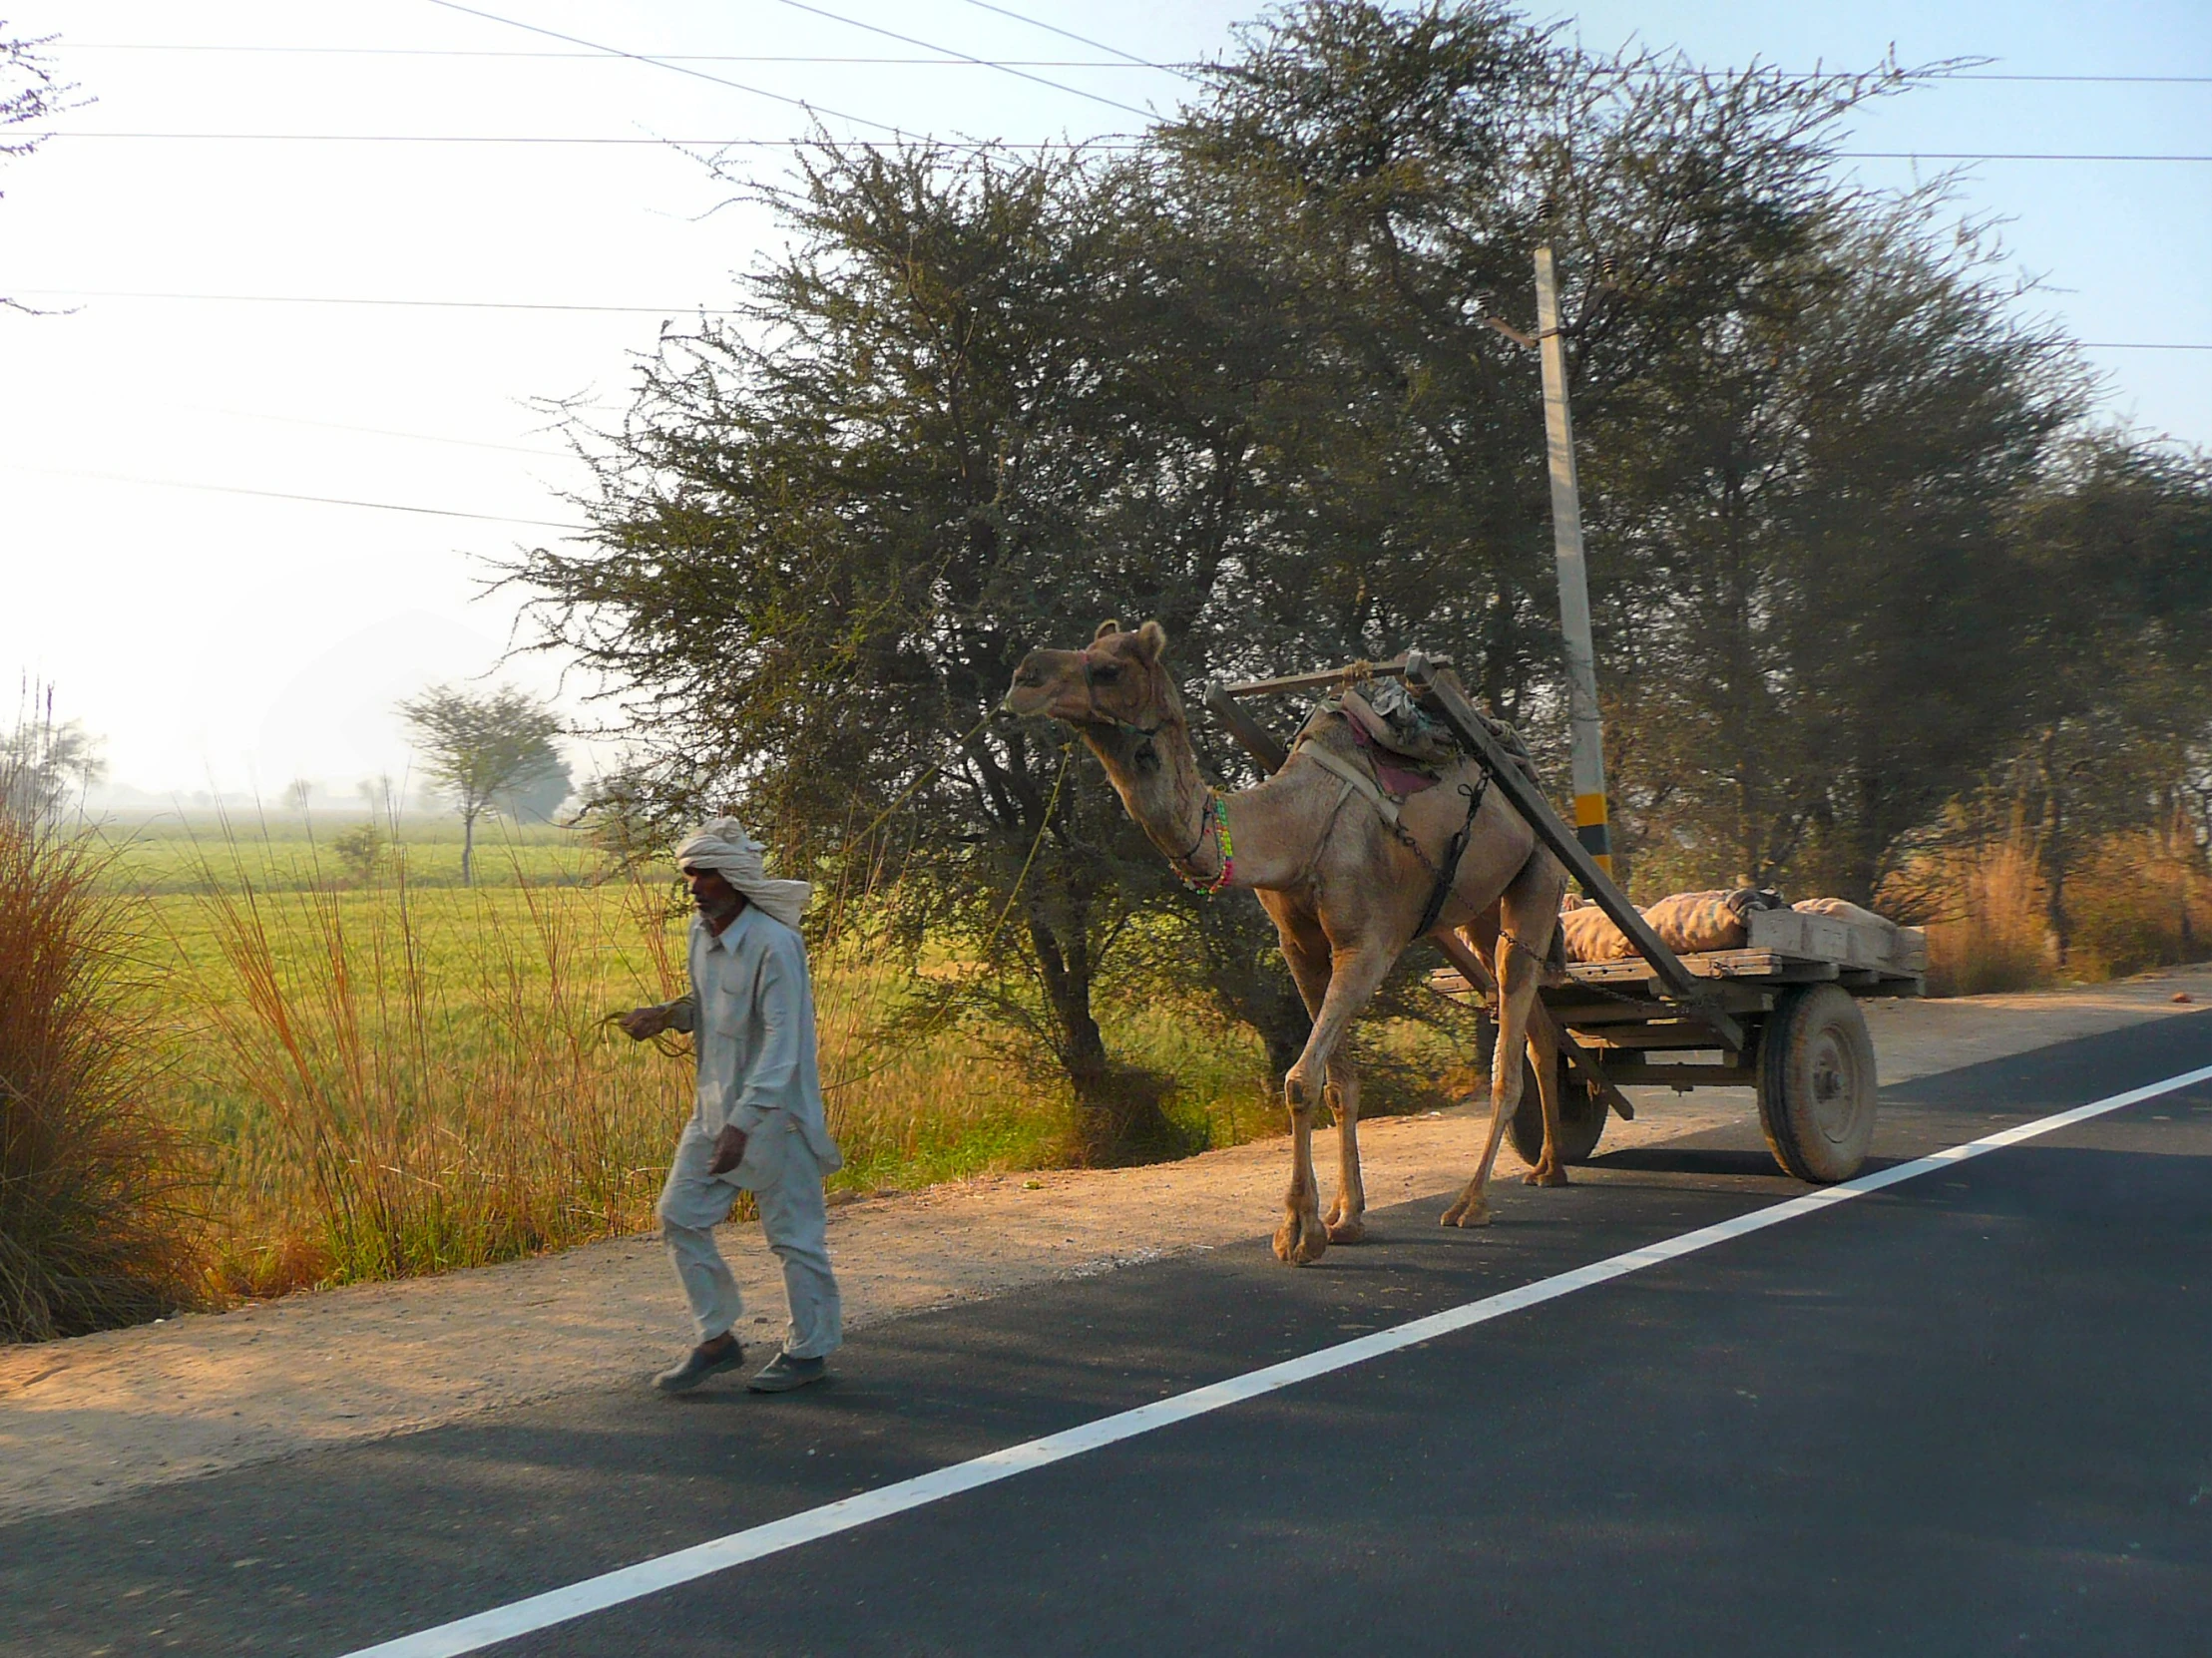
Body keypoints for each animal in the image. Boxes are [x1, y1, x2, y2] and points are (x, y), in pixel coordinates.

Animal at [1004, 627, 1574, 1273]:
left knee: (1510, 1031)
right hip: (1479, 905)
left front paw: (1298, 1231)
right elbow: (1337, 1084)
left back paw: (1471, 1201)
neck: (1297, 828)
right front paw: (1346, 1218)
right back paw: (1550, 1165)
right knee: (1537, 1023)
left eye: (1106, 668)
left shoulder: (1367, 944)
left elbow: (1301, 1080)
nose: (1023, 677)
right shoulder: (1300, 948)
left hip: (1540, 868)